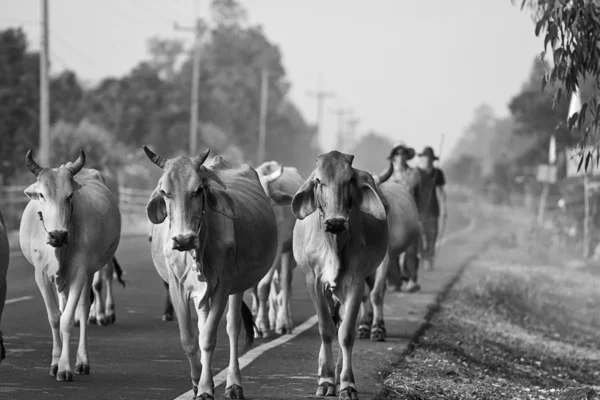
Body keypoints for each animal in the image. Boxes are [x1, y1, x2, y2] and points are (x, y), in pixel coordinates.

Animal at [143, 148, 278, 400]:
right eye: (165, 192)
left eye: (198, 190)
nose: (183, 239)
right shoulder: (177, 287)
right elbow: (189, 339)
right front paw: (197, 383)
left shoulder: (223, 285)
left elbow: (208, 337)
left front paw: (206, 388)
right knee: (204, 321)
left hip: (236, 285)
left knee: (232, 328)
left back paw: (234, 384)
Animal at [251, 161, 302, 336]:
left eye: (267, 198)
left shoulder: (277, 249)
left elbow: (263, 286)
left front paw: (261, 325)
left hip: (287, 250)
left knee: (286, 282)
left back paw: (283, 322)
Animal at [292, 152, 390, 398]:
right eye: (319, 181)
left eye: (349, 180)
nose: (335, 221)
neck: (334, 242)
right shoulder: (314, 281)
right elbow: (325, 329)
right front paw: (325, 381)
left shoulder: (355, 282)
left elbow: (345, 333)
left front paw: (346, 383)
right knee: (330, 322)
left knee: (341, 322)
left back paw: (337, 374)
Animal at [356, 164, 418, 342]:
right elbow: (364, 295)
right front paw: (364, 326)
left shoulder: (384, 260)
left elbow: (376, 294)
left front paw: (377, 329)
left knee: (380, 290)